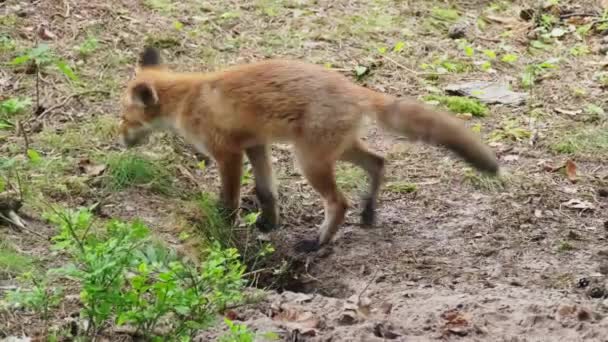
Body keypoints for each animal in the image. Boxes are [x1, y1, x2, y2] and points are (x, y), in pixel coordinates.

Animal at [117, 46, 498, 252]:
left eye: (124, 117)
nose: (120, 140)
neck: (187, 99)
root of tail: (355, 88)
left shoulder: (227, 153)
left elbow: (231, 198)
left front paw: (222, 226)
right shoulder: (256, 144)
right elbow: (266, 192)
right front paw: (269, 225)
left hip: (310, 160)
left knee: (339, 201)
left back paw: (319, 242)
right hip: (336, 151)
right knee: (378, 162)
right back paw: (368, 213)